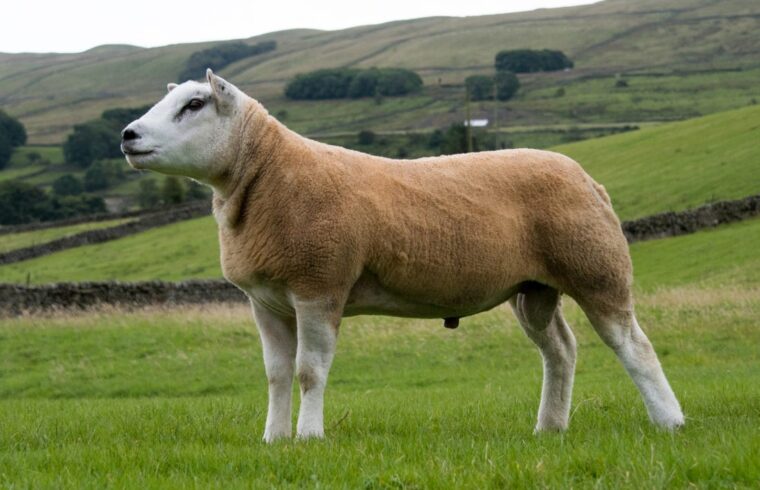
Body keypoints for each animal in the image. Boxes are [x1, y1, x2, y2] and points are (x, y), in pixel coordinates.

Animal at [121, 69, 684, 442]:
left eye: (195, 105)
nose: (128, 135)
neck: (266, 178)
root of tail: (586, 177)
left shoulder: (319, 285)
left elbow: (309, 371)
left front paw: (308, 438)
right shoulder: (266, 301)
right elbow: (277, 374)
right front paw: (274, 440)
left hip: (595, 268)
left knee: (633, 345)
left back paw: (669, 421)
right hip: (533, 288)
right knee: (561, 351)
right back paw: (549, 428)